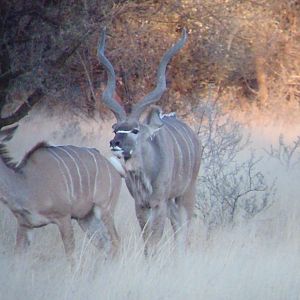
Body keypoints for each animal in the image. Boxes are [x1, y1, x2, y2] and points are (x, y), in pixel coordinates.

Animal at [0, 126, 122, 262]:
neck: (26, 183)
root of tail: (115, 169)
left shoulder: (63, 217)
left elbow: (70, 255)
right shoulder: (24, 224)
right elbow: (17, 255)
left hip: (104, 210)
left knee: (115, 241)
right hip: (86, 218)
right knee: (104, 244)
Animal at [98, 28, 202, 253]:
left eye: (135, 130)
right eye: (115, 129)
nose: (115, 143)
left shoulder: (159, 202)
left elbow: (155, 238)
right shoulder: (141, 204)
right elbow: (147, 240)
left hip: (187, 192)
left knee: (184, 229)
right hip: (172, 201)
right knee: (177, 227)